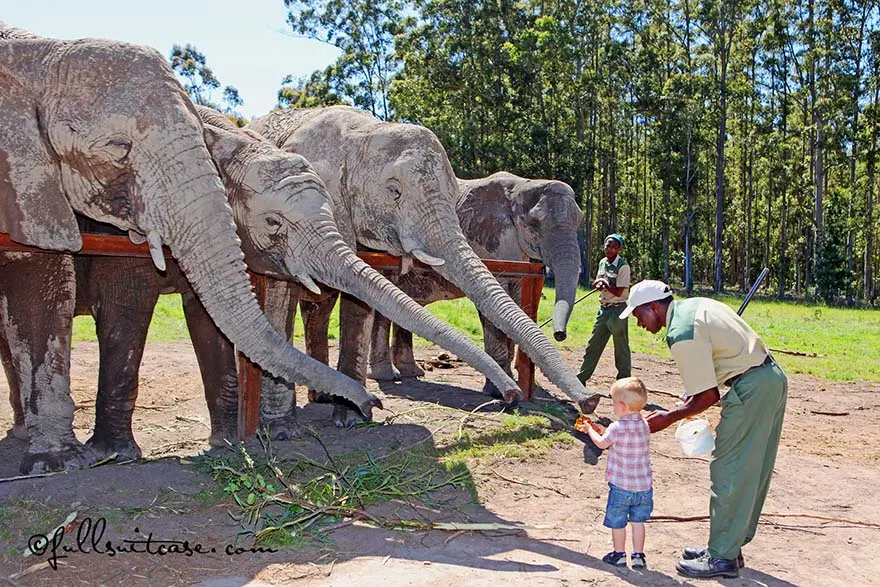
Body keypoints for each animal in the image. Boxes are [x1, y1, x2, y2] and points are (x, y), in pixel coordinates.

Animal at [0, 25, 374, 476]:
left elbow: (207, 318)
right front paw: (98, 459)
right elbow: (122, 300)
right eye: (117, 147)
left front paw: (228, 445)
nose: (372, 405)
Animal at [370, 171, 584, 396]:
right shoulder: (487, 239)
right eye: (534, 225)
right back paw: (388, 376)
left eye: (579, 221)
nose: (560, 335)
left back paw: (412, 373)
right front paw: (498, 391)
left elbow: (515, 302)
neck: (522, 186)